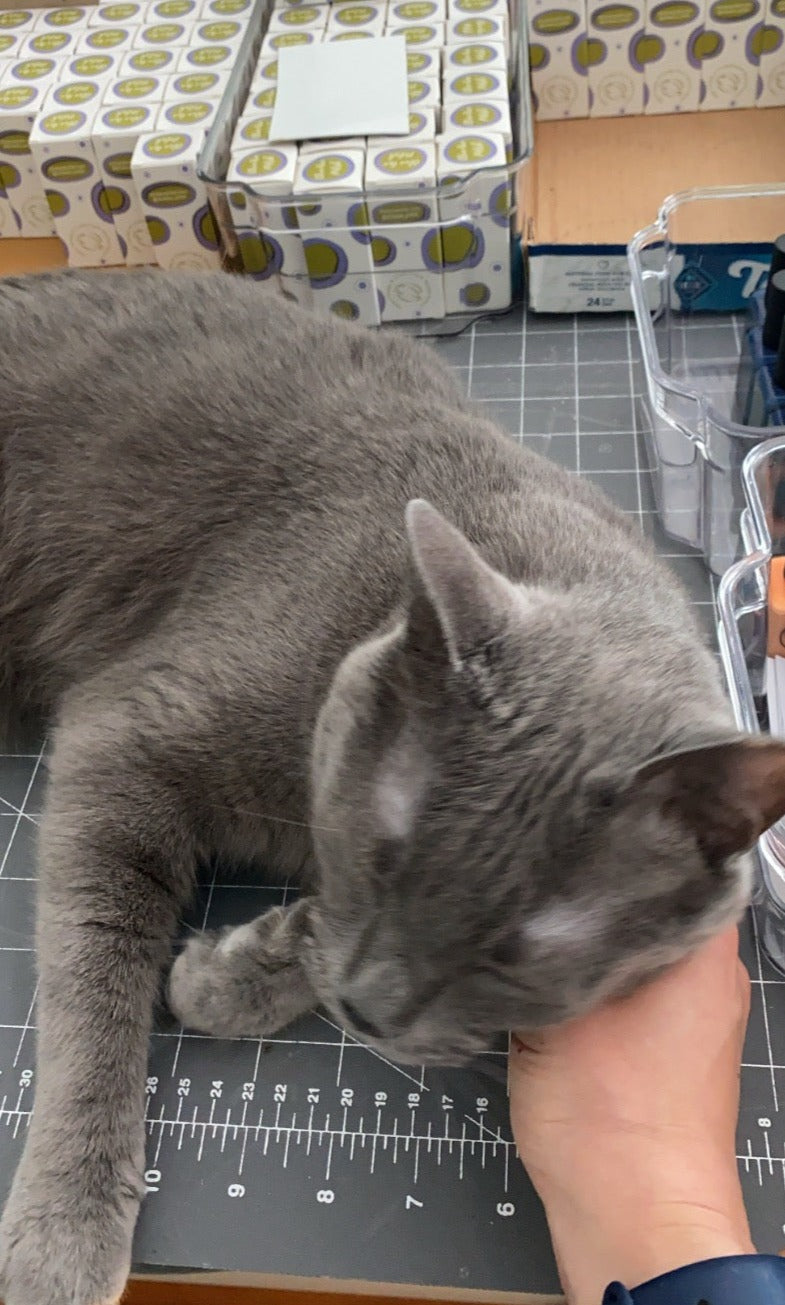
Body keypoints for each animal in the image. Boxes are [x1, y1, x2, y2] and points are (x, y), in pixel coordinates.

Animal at [1, 267, 782, 1305]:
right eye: (381, 856)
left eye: (511, 955)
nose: (367, 1010)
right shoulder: (127, 726)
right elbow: (96, 974)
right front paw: (64, 1231)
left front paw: (231, 974)